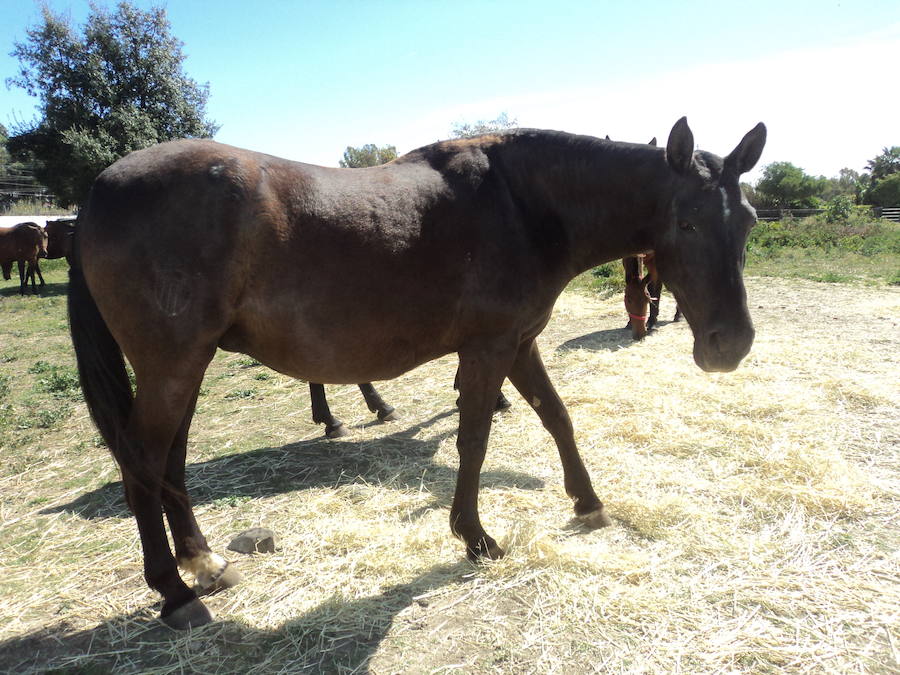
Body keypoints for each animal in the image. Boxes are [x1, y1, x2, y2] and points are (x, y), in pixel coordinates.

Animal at [68, 116, 768, 628]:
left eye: (750, 220)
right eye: (686, 221)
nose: (730, 345)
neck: (521, 204)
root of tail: (97, 192)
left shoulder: (520, 344)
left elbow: (557, 418)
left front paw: (588, 502)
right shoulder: (488, 349)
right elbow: (474, 440)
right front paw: (475, 537)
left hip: (186, 366)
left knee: (170, 463)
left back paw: (204, 563)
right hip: (172, 365)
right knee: (142, 463)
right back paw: (176, 591)